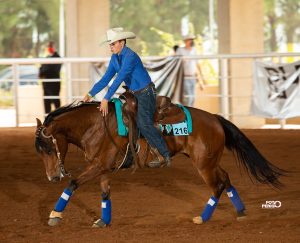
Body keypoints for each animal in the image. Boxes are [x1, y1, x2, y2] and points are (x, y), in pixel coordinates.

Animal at [34, 98, 284, 227]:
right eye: (39, 152)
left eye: (49, 148)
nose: (52, 177)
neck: (96, 125)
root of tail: (215, 119)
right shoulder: (103, 167)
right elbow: (105, 194)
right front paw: (103, 221)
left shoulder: (98, 166)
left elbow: (73, 183)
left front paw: (54, 216)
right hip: (210, 161)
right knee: (226, 179)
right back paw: (240, 212)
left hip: (203, 164)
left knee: (217, 186)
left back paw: (202, 218)